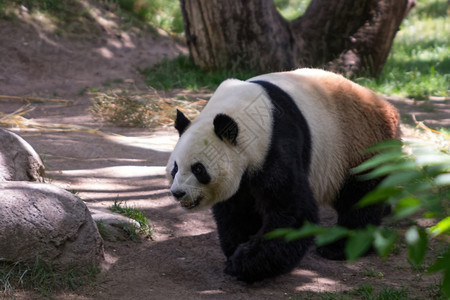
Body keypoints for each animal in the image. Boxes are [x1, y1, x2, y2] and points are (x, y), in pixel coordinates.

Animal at [166, 68, 400, 284]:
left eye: (198, 169)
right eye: (175, 168)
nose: (178, 193)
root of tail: (388, 108)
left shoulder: (275, 143)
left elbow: (291, 211)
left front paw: (244, 264)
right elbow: (236, 210)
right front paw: (237, 248)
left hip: (358, 144)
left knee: (360, 196)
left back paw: (338, 247)